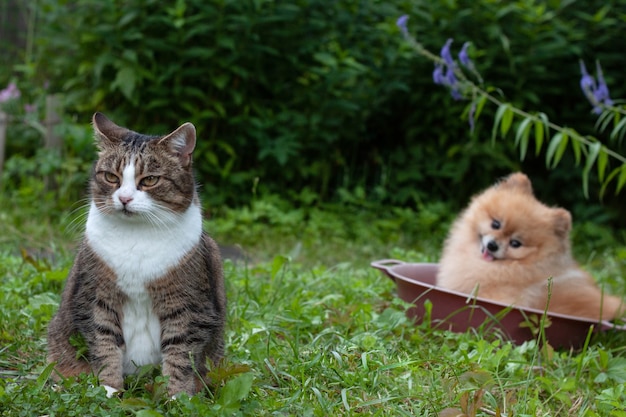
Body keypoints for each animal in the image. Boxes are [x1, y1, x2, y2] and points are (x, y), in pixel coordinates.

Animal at [47, 112, 227, 394]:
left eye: (150, 180)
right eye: (111, 177)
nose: (124, 198)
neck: (136, 236)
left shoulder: (189, 305)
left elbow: (180, 353)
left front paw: (177, 396)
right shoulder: (96, 298)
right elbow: (104, 343)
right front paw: (109, 390)